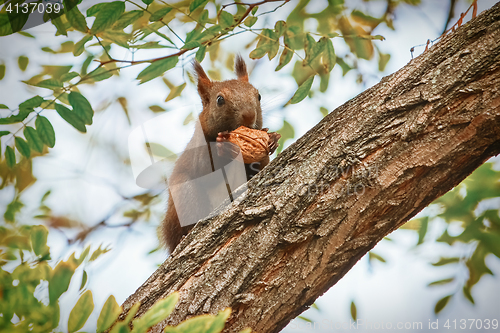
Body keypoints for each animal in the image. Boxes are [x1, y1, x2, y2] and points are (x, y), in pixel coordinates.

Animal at [158, 56, 280, 254]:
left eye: (259, 96)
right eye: (220, 100)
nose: (249, 115)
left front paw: (273, 138)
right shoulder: (198, 150)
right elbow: (206, 170)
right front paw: (224, 149)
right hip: (185, 196)